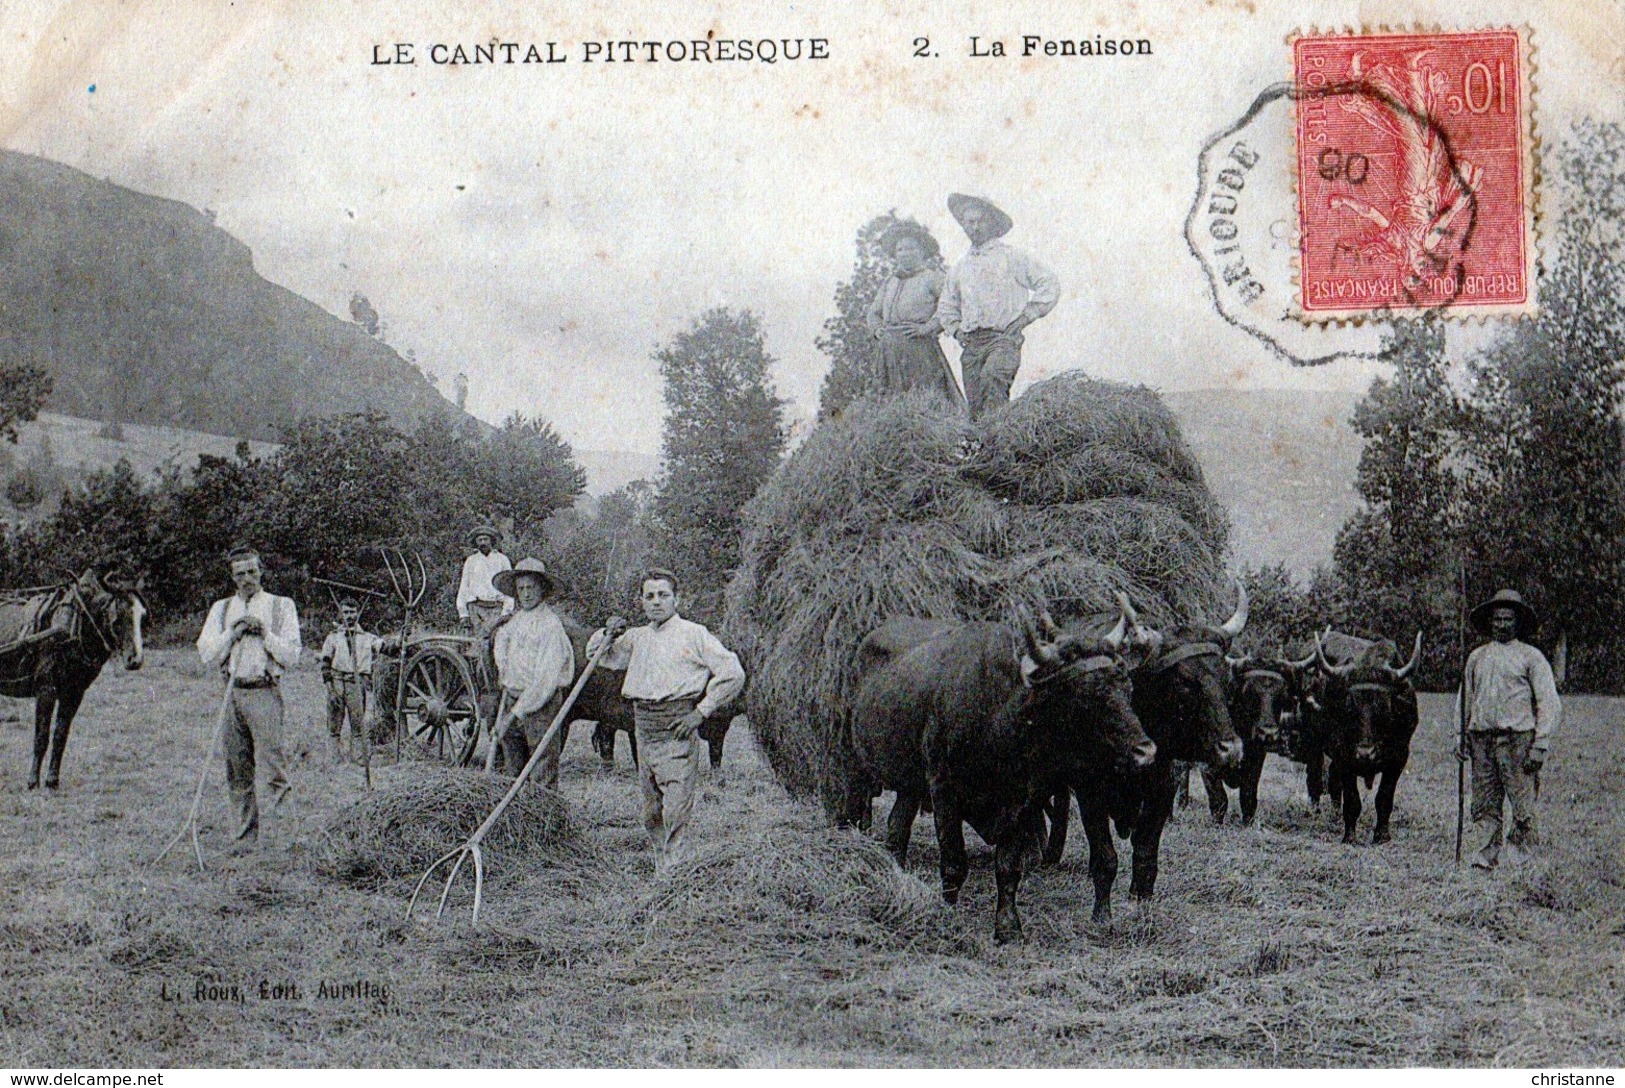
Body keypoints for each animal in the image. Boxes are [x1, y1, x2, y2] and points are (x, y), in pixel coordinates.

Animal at [851, 604, 1157, 948]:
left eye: (1126, 686)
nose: (1145, 751)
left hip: (910, 785)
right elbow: (954, 862)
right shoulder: (944, 792)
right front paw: (948, 915)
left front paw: (1009, 928)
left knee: (897, 829)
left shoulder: (1020, 801)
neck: (997, 716)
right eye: (1086, 694)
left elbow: (1009, 867)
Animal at [1033, 584, 1248, 922]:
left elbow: (1146, 849)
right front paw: (1102, 915)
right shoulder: (1090, 793)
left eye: (1225, 678)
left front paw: (1142, 902)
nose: (1231, 748)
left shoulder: (1163, 789)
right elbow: (1105, 856)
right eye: (1184, 682)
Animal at [1306, 630, 1423, 844]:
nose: (1365, 754)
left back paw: (1334, 814)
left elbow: (1384, 797)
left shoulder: (1399, 757)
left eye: (1384, 709)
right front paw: (1350, 836)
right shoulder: (1344, 756)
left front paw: (1382, 835)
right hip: (1314, 743)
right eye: (1349, 707)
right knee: (1315, 776)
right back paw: (1315, 809)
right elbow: (1352, 799)